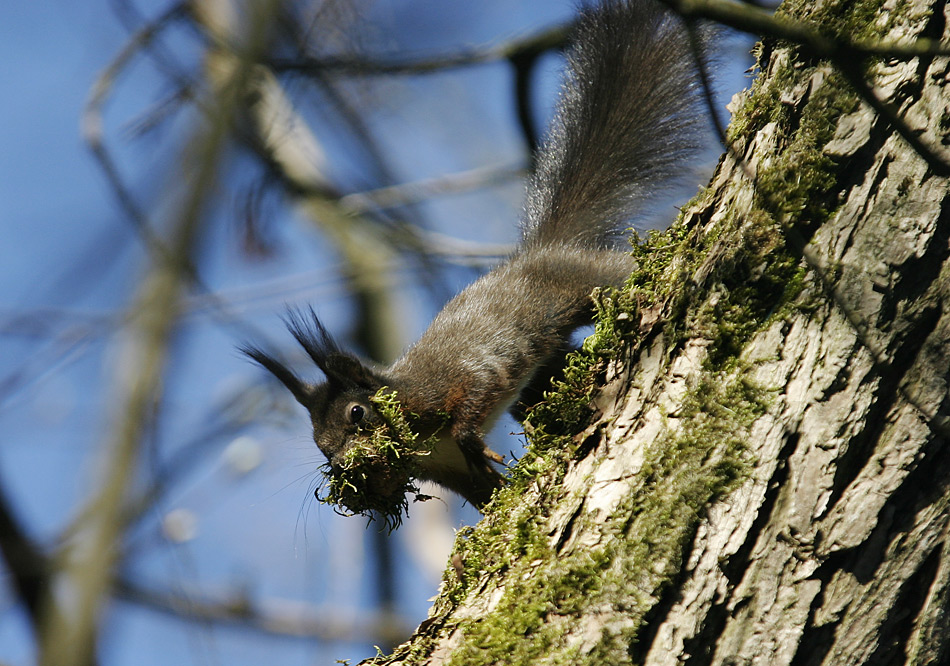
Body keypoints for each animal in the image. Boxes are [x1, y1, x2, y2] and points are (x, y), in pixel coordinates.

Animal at [244, 0, 708, 508]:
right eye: (319, 445)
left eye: (357, 414)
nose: (344, 467)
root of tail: (540, 250)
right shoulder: (446, 471)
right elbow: (485, 496)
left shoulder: (454, 379)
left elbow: (479, 388)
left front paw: (473, 439)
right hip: (546, 365)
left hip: (580, 280)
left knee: (614, 274)